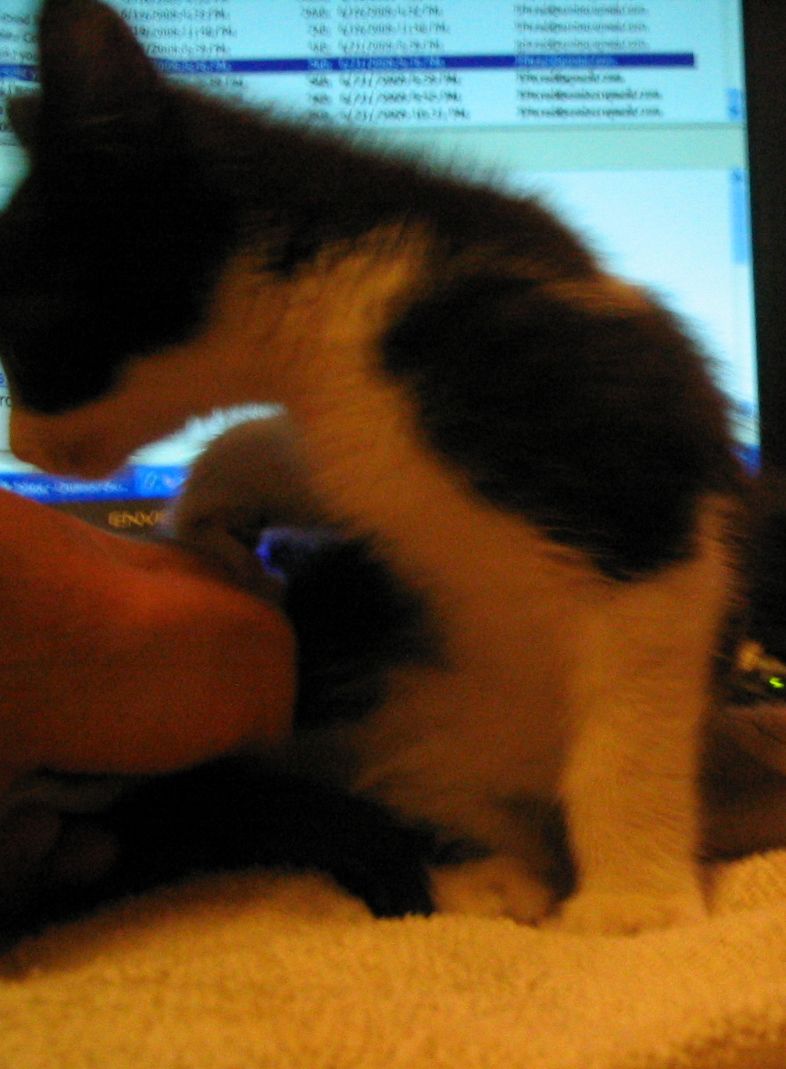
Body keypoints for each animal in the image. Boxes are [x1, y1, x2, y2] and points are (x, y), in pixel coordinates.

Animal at [0, 0, 747, 934]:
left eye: (21, 329)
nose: (22, 447)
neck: (339, 321)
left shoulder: (625, 456)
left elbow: (634, 715)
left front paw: (633, 903)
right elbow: (310, 459)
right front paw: (215, 498)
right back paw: (483, 868)